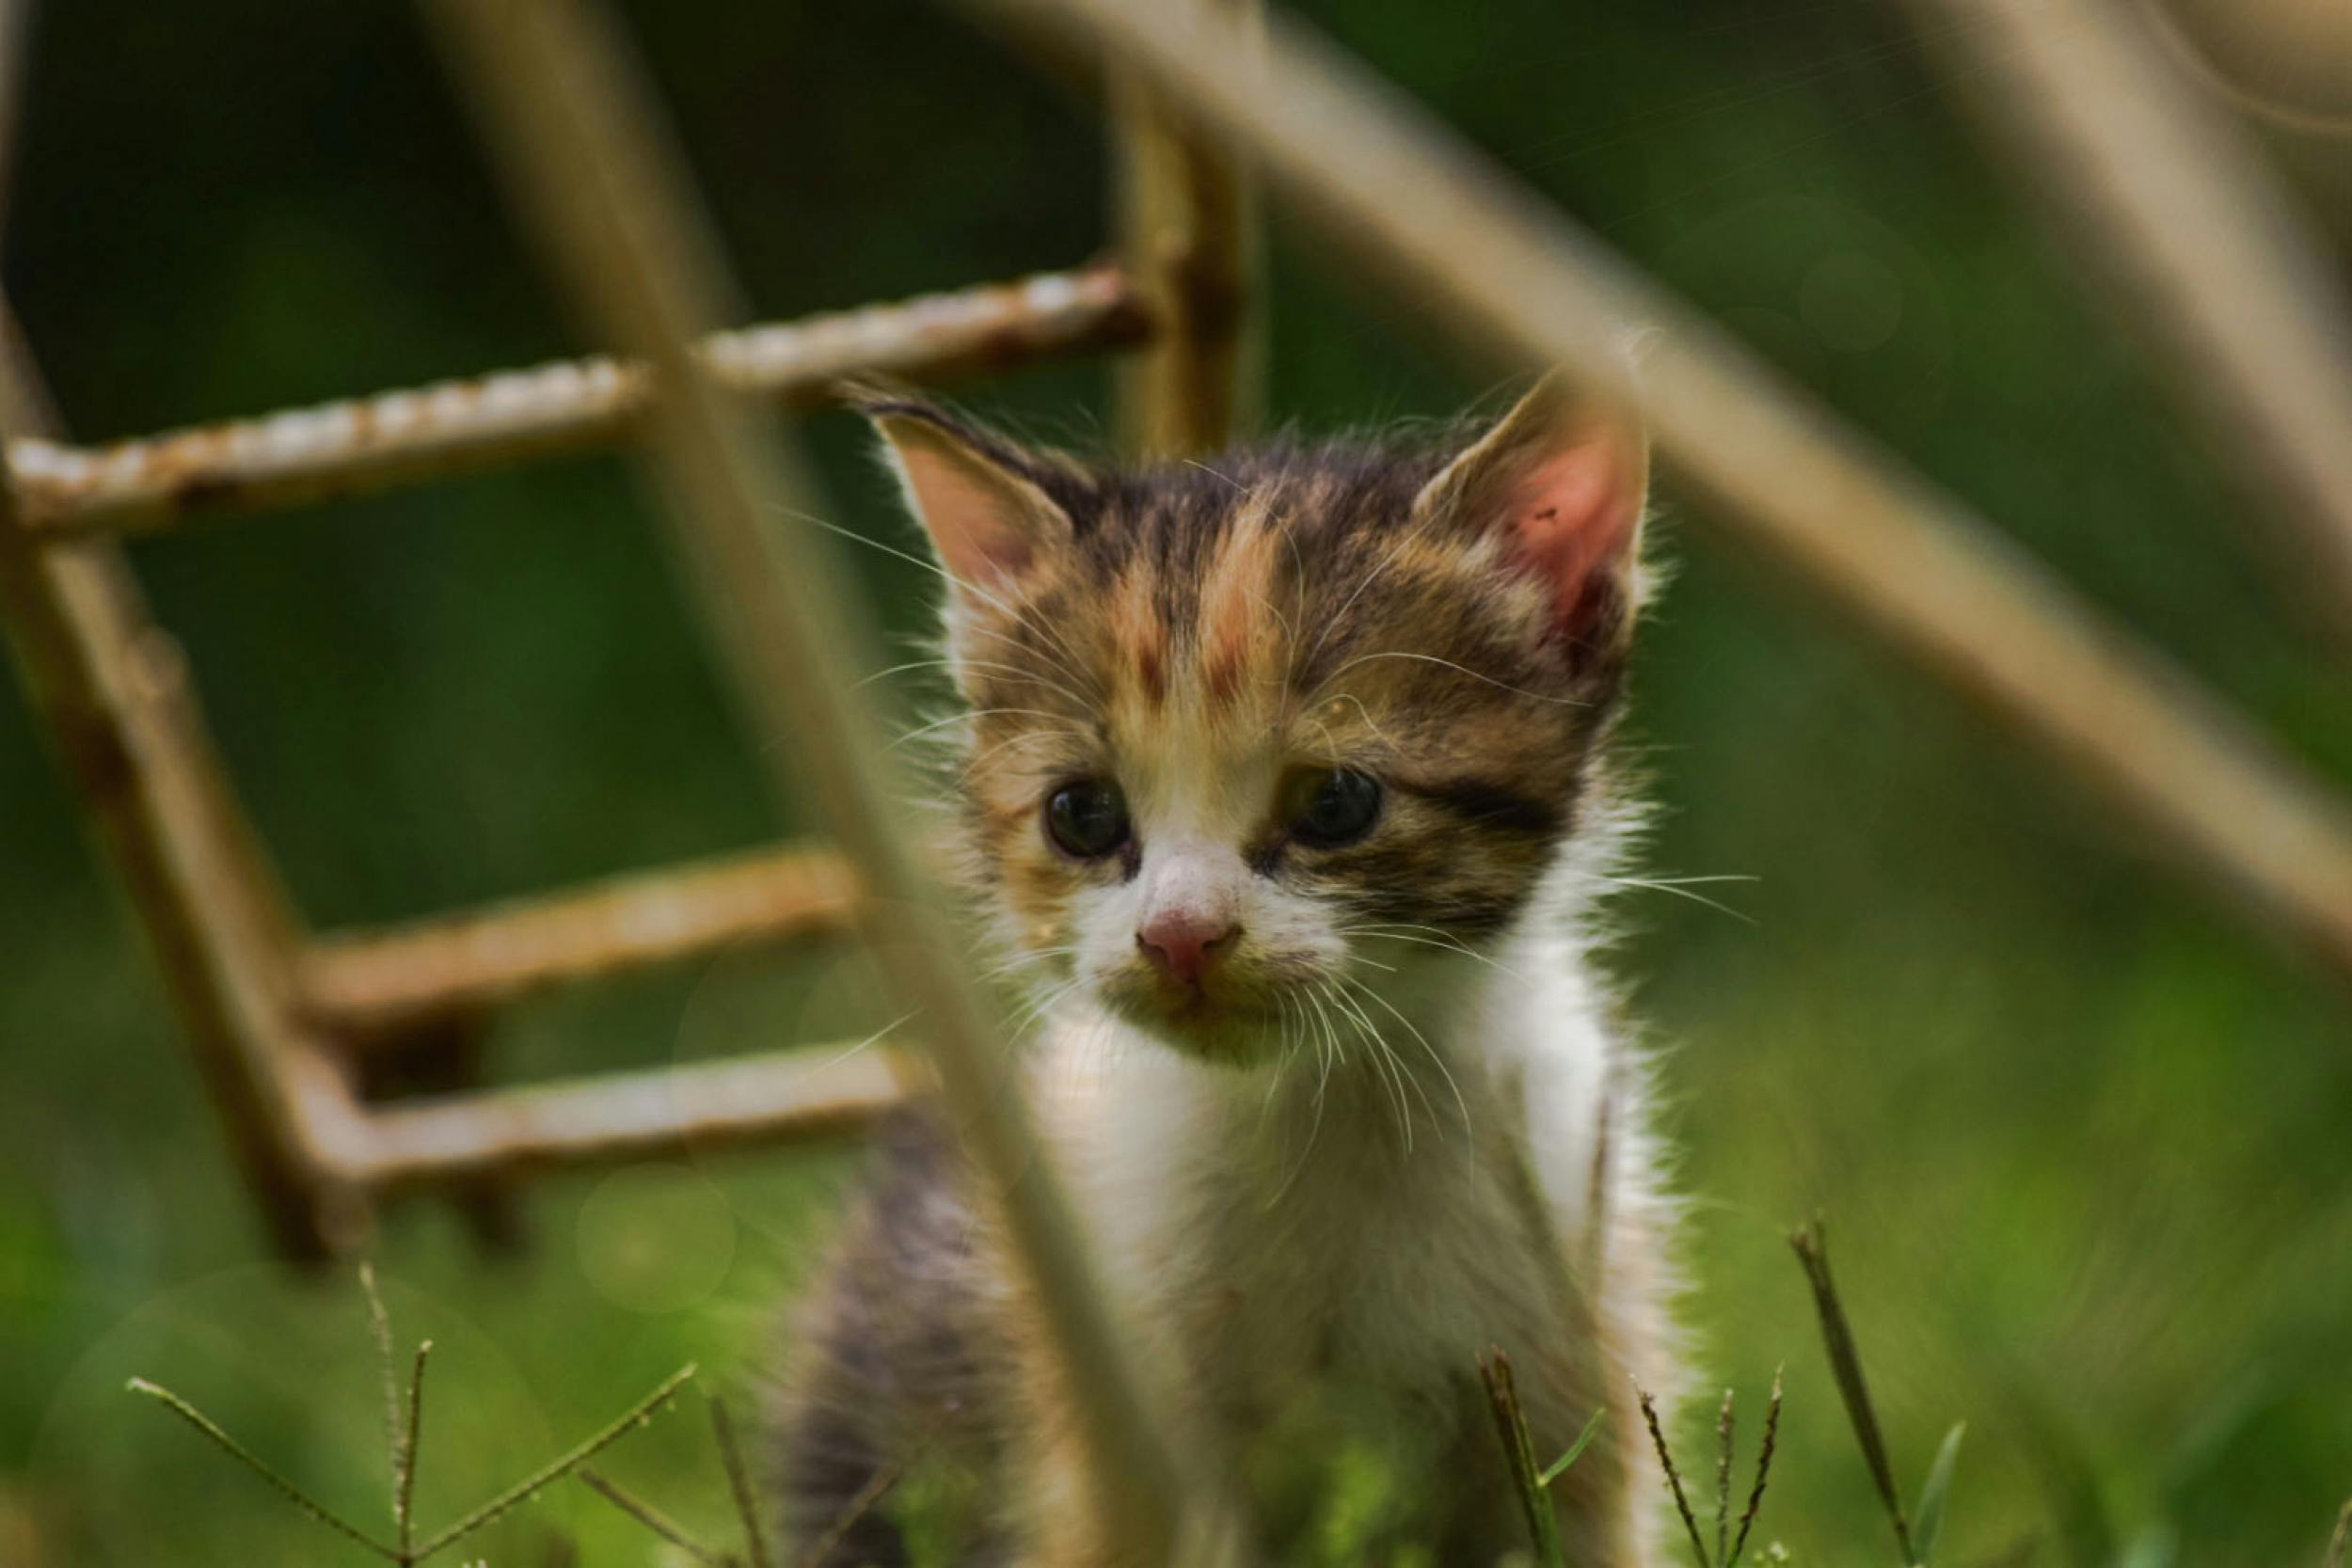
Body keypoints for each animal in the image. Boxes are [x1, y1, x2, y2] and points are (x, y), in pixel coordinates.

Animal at [776, 373, 1693, 1560]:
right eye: (1082, 813)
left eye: (1335, 801)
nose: (1179, 933)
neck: (1329, 1111)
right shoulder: (1113, 1402)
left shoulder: (1572, 1322)